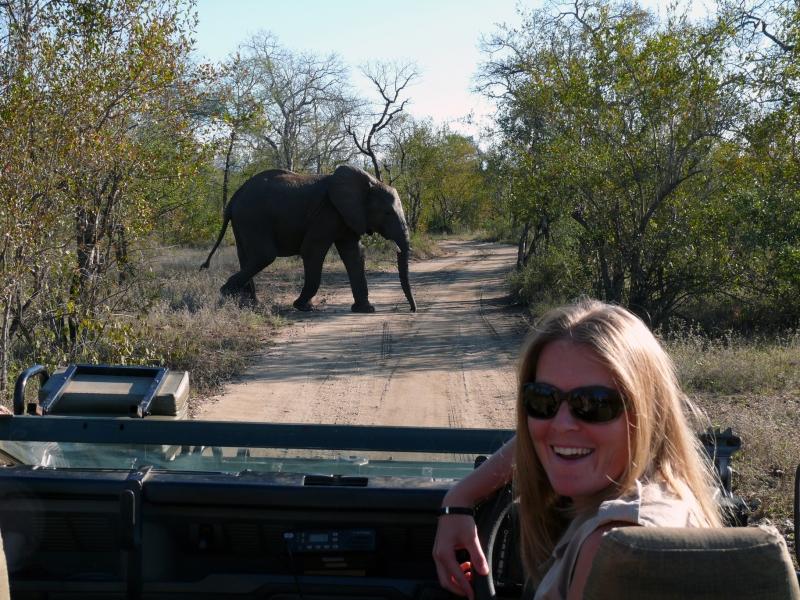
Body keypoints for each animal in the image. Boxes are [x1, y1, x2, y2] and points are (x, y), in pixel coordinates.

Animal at [200, 165, 417, 313]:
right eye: (387, 213)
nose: (412, 310)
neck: (369, 183)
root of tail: (234, 198)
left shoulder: (346, 216)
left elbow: (354, 254)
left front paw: (365, 310)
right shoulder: (327, 213)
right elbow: (312, 250)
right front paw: (303, 307)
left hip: (243, 221)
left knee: (247, 257)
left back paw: (249, 304)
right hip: (253, 218)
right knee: (264, 256)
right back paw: (225, 295)